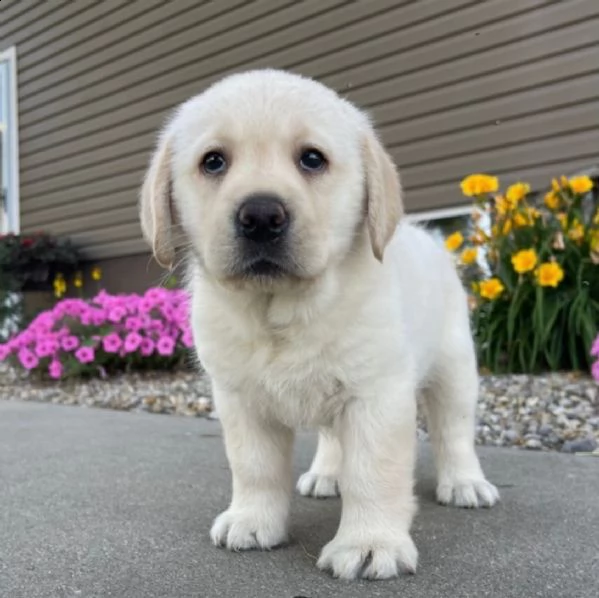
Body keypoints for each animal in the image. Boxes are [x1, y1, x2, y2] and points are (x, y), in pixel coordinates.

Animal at [138, 69, 500, 580]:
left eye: (312, 159)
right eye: (213, 162)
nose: (261, 215)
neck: (282, 310)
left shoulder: (377, 395)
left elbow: (372, 471)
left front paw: (370, 542)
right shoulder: (239, 399)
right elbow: (254, 466)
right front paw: (252, 519)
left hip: (454, 367)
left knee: (455, 430)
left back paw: (466, 483)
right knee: (332, 439)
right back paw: (327, 474)